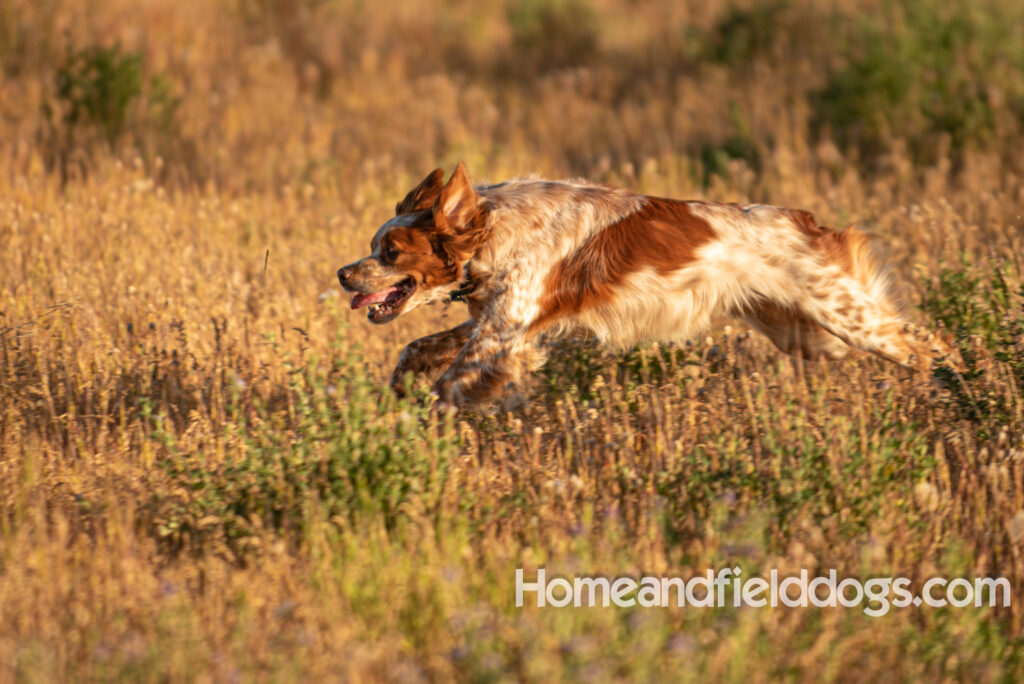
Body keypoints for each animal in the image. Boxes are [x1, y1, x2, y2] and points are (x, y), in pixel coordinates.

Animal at [339, 161, 962, 405]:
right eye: (374, 246)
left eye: (389, 252)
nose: (344, 274)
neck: (495, 230)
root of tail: (808, 222)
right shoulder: (500, 327)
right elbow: (415, 348)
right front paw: (395, 394)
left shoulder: (500, 338)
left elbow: (446, 390)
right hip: (807, 335)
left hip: (848, 319)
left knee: (932, 346)